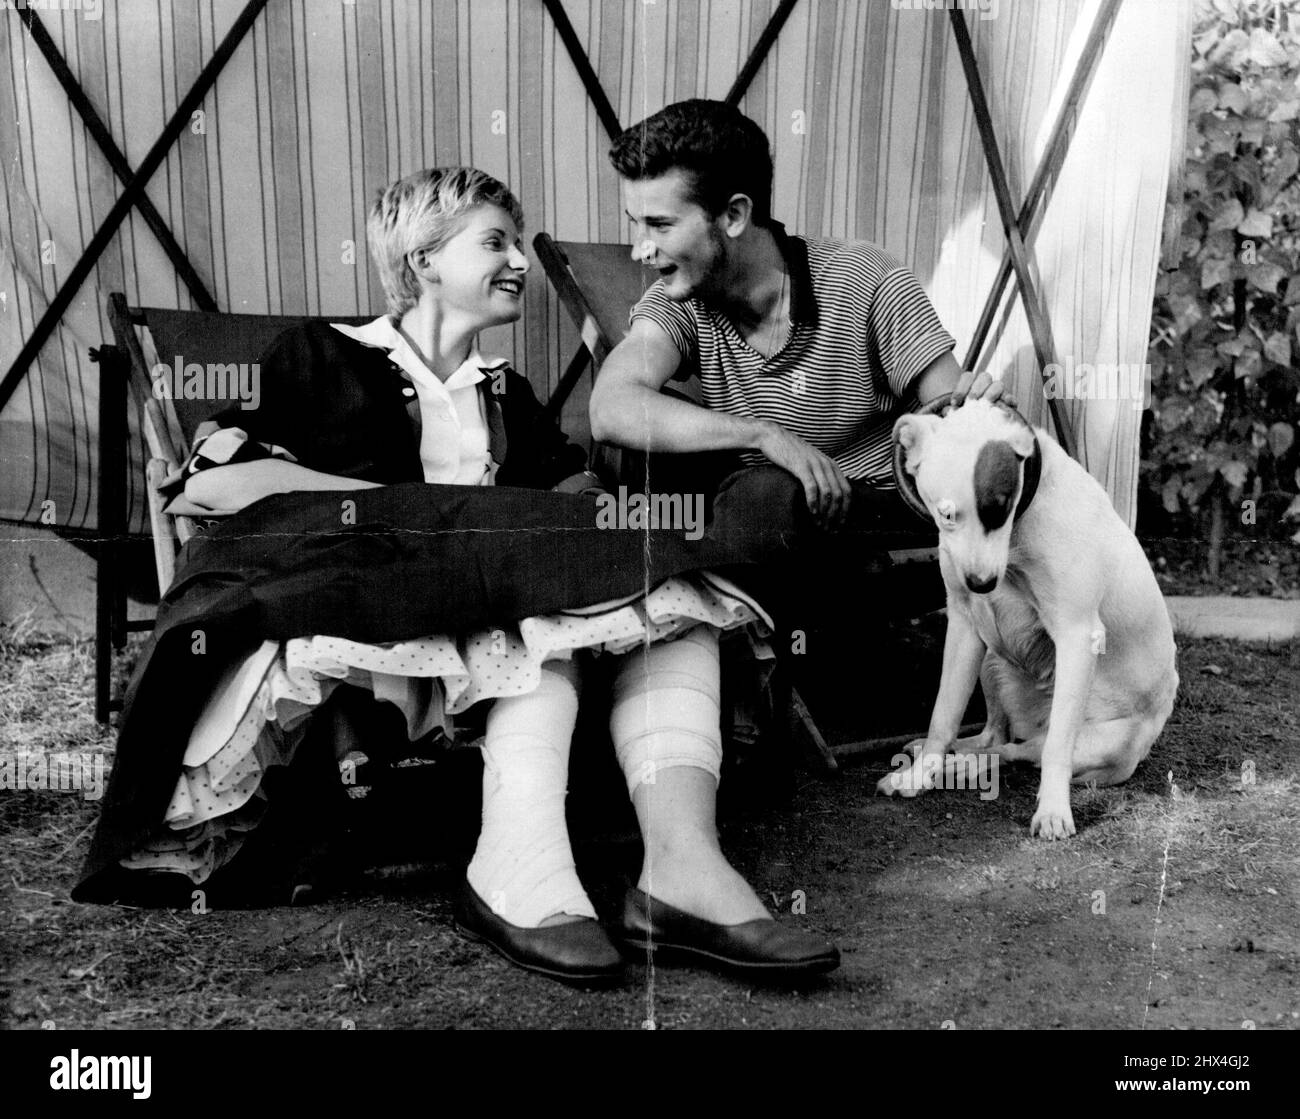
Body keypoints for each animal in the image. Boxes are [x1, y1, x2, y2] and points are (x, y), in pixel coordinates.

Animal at [883, 400, 1180, 836]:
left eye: (1001, 507)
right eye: (946, 515)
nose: (982, 583)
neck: (1019, 536)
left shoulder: (1077, 634)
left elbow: (1056, 747)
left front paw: (1054, 811)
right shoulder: (965, 626)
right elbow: (943, 716)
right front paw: (920, 774)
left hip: (1100, 742)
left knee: (1019, 751)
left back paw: (963, 766)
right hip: (990, 658)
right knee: (994, 736)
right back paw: (954, 754)